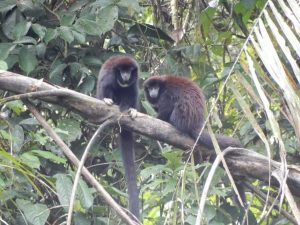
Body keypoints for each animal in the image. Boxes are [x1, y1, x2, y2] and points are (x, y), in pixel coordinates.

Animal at [96, 54, 140, 218]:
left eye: (129, 71)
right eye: (122, 71)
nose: (126, 75)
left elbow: (133, 92)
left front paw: (132, 109)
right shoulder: (110, 76)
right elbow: (106, 84)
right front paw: (106, 99)